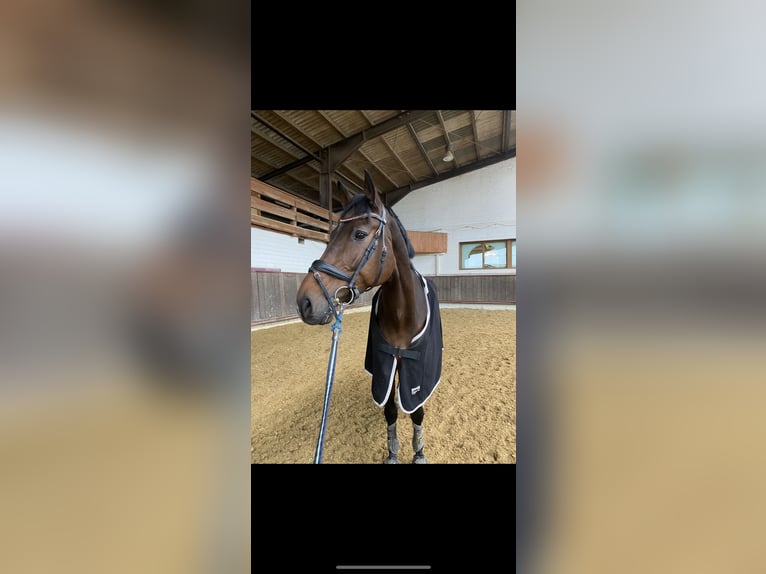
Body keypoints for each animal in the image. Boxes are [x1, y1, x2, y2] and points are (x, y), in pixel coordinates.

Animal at [296, 170, 443, 464]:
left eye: (360, 234)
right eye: (330, 234)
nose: (304, 302)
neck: (403, 314)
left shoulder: (416, 370)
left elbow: (417, 410)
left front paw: (419, 451)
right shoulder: (386, 364)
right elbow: (390, 410)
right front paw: (392, 452)